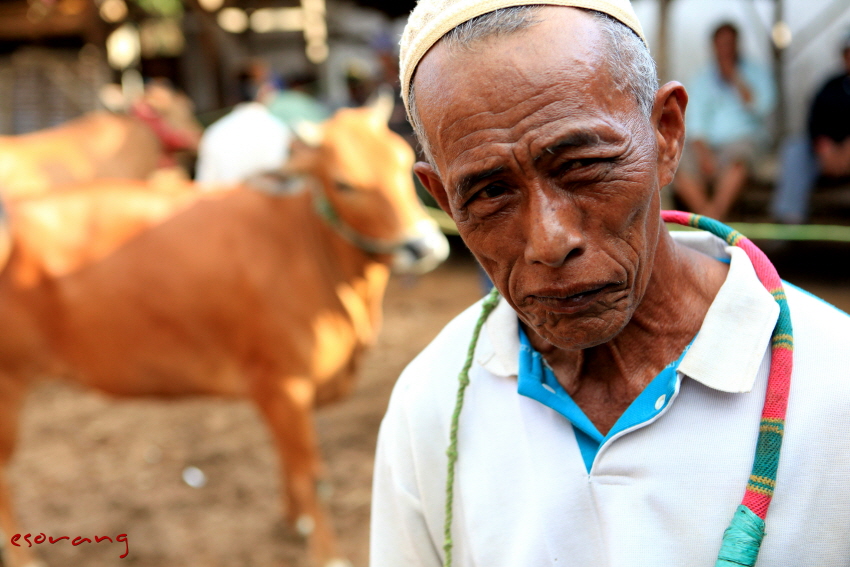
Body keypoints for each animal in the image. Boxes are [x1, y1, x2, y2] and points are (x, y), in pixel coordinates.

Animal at [0, 102, 450, 567]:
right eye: (345, 183)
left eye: (401, 160)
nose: (424, 247)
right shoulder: (282, 383)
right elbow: (310, 475)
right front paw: (325, 552)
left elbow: (291, 463)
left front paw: (296, 520)